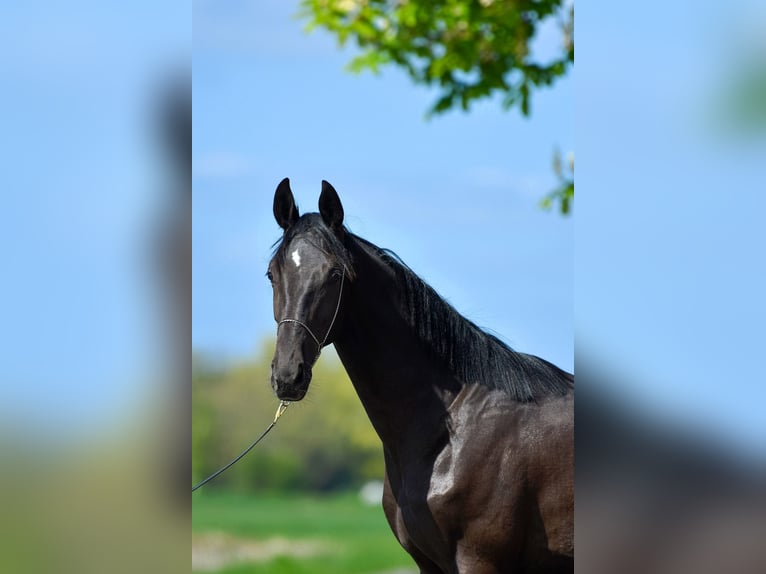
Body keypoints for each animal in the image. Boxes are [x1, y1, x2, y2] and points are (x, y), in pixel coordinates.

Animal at [268, 180, 572, 574]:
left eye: (334, 274)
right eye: (272, 274)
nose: (288, 375)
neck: (449, 432)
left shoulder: (480, 561)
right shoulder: (428, 563)